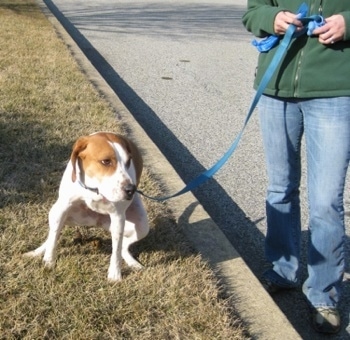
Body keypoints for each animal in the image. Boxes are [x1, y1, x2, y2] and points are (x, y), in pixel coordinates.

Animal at [25, 131, 149, 280]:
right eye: (106, 161)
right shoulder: (63, 208)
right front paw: (48, 262)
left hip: (141, 226)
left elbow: (117, 250)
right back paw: (37, 252)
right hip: (55, 212)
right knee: (52, 235)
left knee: (123, 247)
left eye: (128, 161)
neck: (95, 188)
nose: (131, 189)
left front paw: (115, 274)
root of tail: (97, 221)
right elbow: (53, 239)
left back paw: (133, 263)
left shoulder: (118, 217)